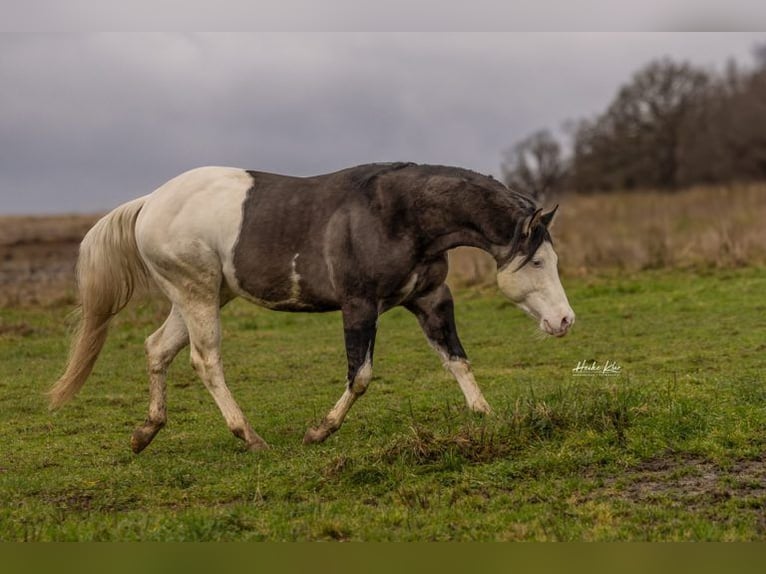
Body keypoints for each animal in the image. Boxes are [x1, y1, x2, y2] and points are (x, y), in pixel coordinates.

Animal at [49, 162, 575, 452]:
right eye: (538, 260)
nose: (565, 321)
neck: (398, 214)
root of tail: (150, 201)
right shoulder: (359, 305)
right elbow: (360, 376)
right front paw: (319, 432)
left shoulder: (429, 299)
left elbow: (457, 360)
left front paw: (486, 415)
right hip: (197, 293)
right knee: (205, 359)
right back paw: (249, 436)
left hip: (202, 295)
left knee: (158, 348)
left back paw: (146, 432)